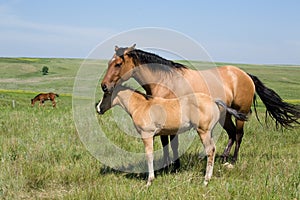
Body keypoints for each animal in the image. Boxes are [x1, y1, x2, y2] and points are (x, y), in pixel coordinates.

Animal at [95, 86, 246, 186]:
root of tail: (213, 100)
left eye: (106, 94)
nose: (98, 108)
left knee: (210, 150)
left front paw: (149, 181)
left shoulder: (147, 135)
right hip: (209, 132)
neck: (141, 105)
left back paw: (205, 180)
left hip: (203, 131)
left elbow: (149, 155)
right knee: (212, 150)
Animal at [100, 44, 300, 169]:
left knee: (238, 134)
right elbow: (166, 144)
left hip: (240, 112)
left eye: (118, 64)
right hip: (225, 115)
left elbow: (172, 144)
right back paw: (223, 158)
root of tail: (245, 75)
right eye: (109, 63)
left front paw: (173, 166)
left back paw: (233, 160)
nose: (104, 86)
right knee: (231, 133)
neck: (165, 80)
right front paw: (167, 165)